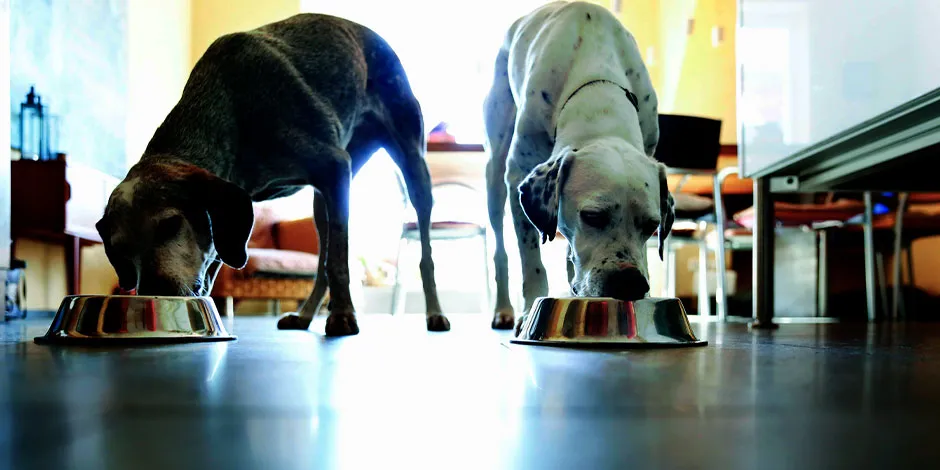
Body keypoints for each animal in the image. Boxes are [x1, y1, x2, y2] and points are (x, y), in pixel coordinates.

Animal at [484, 0, 676, 334]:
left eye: (652, 225)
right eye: (593, 216)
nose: (630, 283)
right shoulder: (519, 174)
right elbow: (531, 259)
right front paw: (529, 310)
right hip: (495, 173)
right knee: (500, 251)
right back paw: (504, 310)